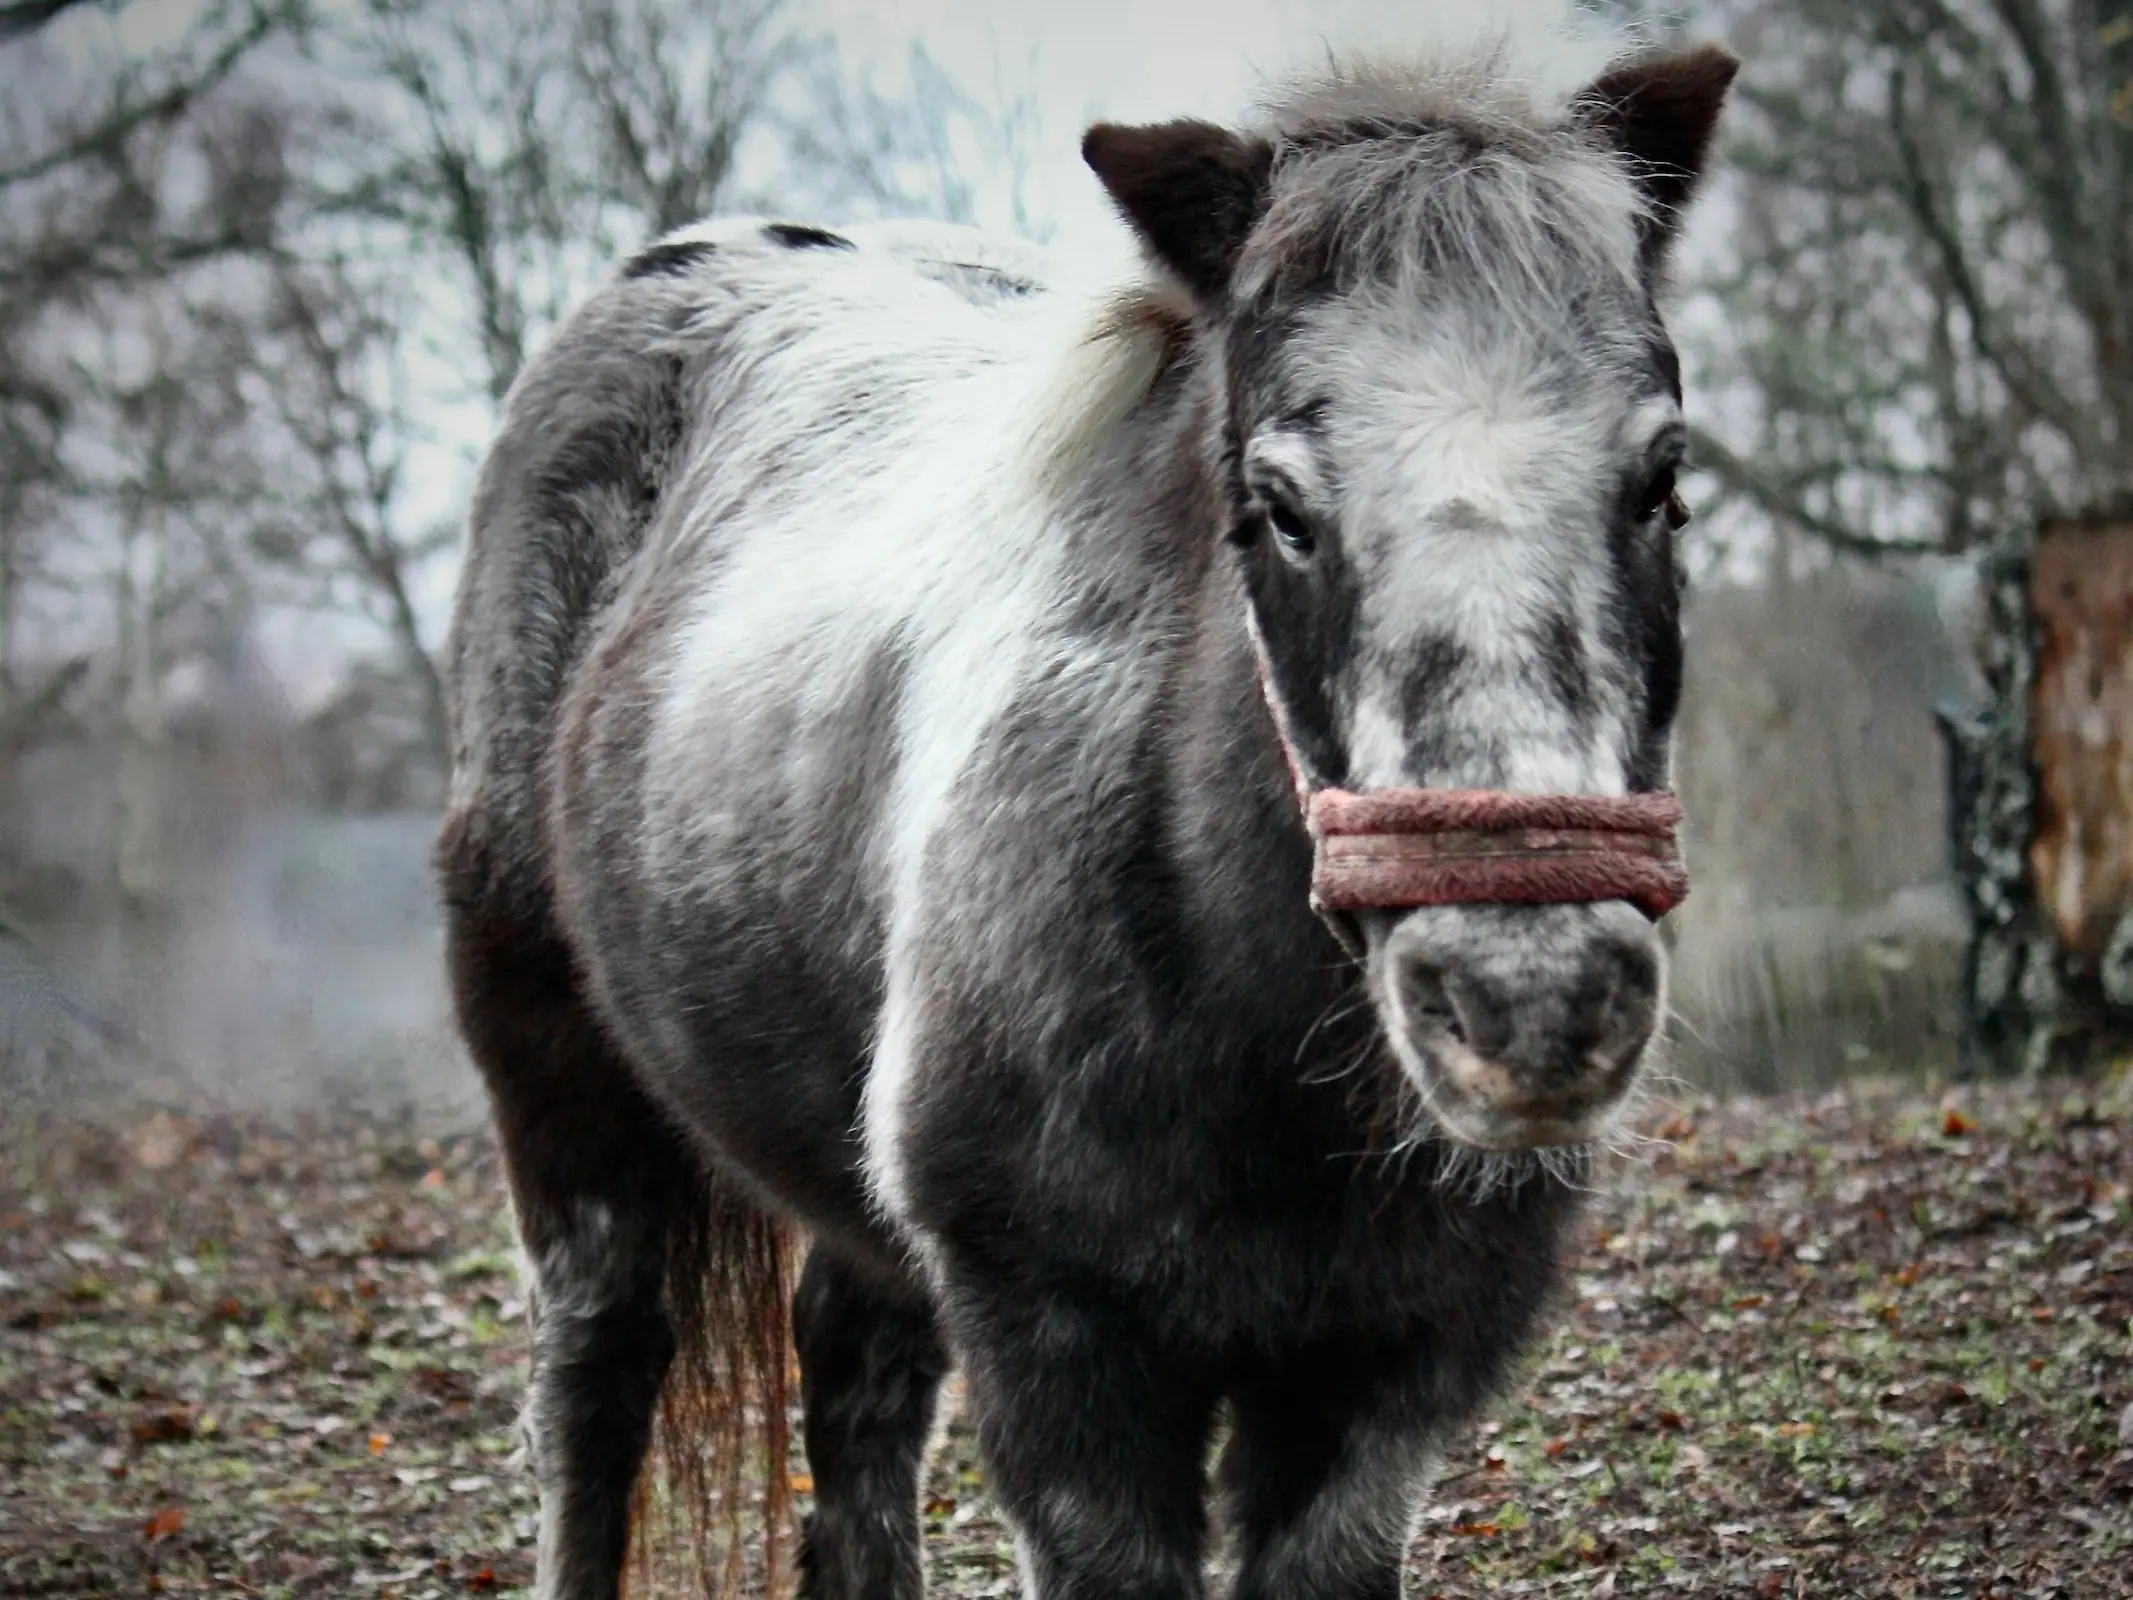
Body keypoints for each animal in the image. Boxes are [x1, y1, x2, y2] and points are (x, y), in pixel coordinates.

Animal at [432, 31, 1731, 1600]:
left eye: (1661, 478)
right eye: (1277, 504)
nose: (1527, 998)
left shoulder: (1389, 1372)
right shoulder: (1063, 1358)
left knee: (855, 1402)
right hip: (562, 1093)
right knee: (597, 1389)